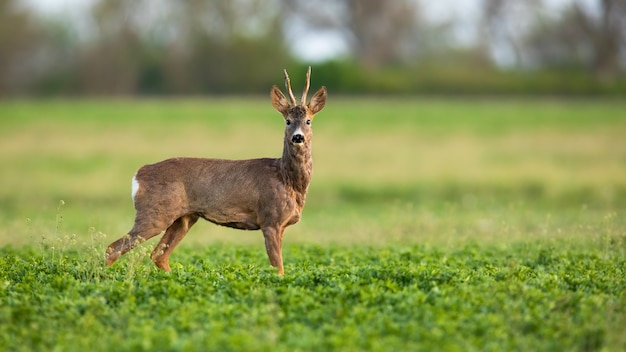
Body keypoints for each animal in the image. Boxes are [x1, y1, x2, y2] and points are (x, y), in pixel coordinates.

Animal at [103, 66, 326, 276]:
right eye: (287, 121)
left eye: (308, 121)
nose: (298, 137)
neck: (287, 179)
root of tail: (138, 174)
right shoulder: (270, 219)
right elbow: (278, 268)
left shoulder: (280, 224)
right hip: (154, 213)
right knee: (113, 248)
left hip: (184, 218)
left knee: (158, 254)